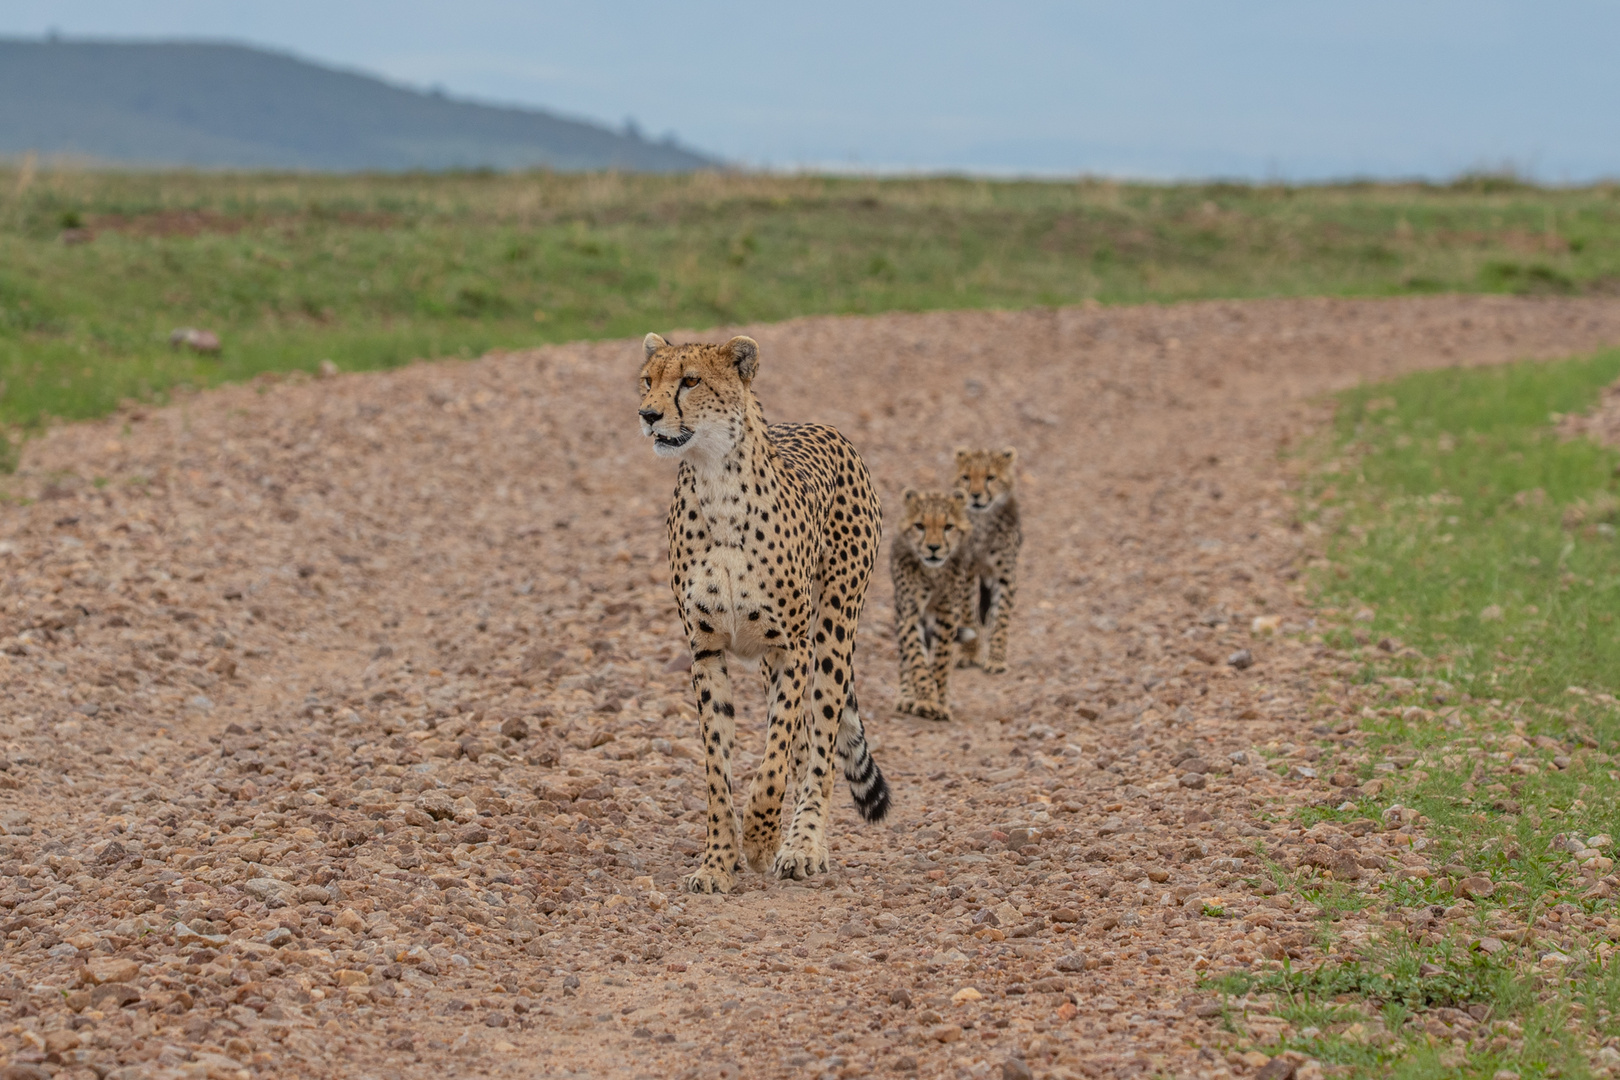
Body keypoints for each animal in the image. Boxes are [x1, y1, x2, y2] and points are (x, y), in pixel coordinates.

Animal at [635, 333, 887, 893]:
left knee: (819, 746)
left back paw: (804, 845)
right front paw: (717, 861)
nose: (648, 414)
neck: (716, 486)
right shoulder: (706, 651)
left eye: (690, 380)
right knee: (802, 743)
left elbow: (772, 764)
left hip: (833, 630)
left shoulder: (790, 647)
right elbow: (717, 768)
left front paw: (759, 838)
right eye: (647, 380)